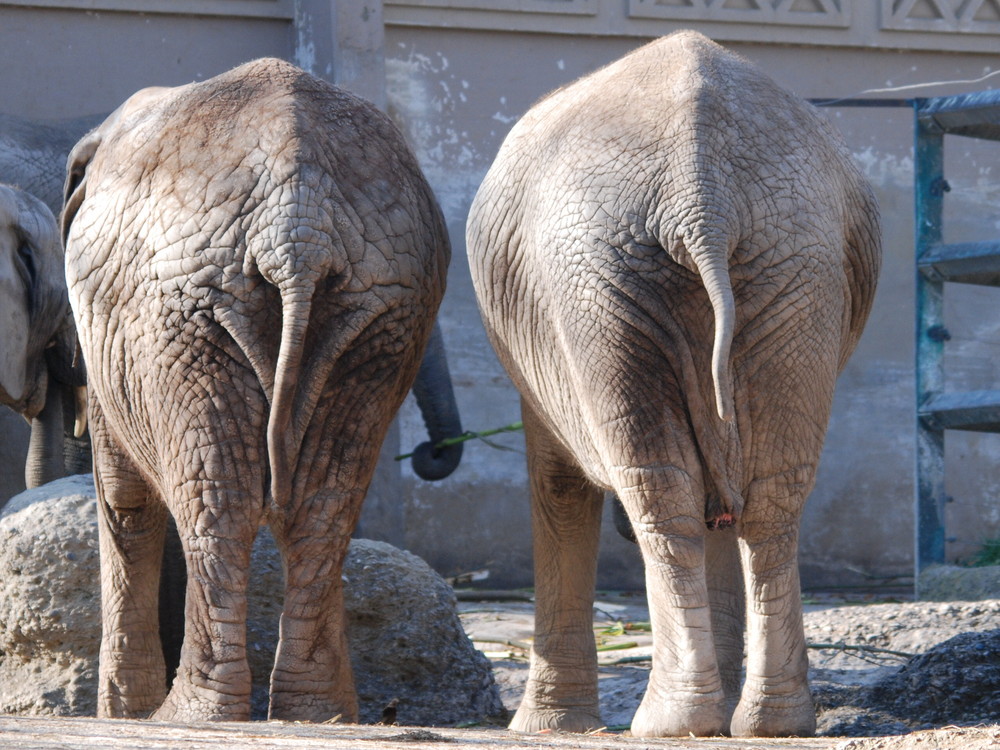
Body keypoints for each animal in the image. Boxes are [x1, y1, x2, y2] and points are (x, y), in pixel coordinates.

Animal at [64, 58, 462, 724]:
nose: (433, 453)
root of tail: (297, 228)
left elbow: (123, 499)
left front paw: (121, 715)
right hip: (382, 307)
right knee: (325, 504)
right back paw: (318, 714)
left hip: (184, 310)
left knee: (218, 501)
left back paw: (188, 715)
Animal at [464, 30, 880, 740]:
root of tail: (701, 190)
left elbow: (558, 485)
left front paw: (544, 729)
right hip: (790, 263)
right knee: (771, 494)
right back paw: (770, 723)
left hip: (602, 278)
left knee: (657, 486)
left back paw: (669, 721)